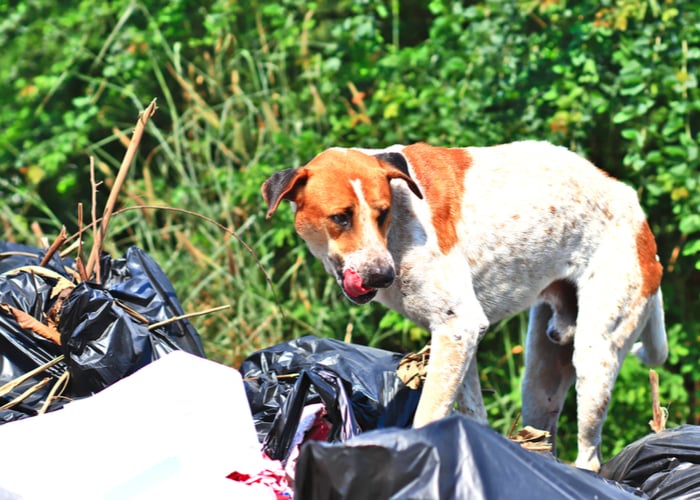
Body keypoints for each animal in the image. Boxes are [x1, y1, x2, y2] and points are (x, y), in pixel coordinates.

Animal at [262, 142, 668, 472]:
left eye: (382, 213)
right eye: (340, 218)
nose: (382, 276)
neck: (400, 227)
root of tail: (640, 219)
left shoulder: (458, 328)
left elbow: (427, 416)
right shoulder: (460, 341)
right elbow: (471, 412)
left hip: (594, 358)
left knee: (591, 457)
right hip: (541, 377)